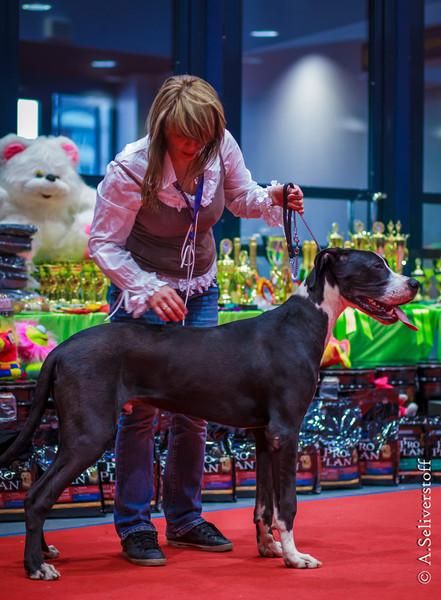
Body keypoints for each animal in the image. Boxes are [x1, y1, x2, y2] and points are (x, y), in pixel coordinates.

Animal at [0, 248, 418, 579]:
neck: (305, 320)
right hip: (90, 434)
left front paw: (269, 548)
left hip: (74, 433)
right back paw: (36, 566)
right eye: (377, 267)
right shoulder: (286, 432)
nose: (414, 283)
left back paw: (45, 552)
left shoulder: (265, 435)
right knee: (38, 496)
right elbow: (286, 504)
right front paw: (295, 557)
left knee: (38, 490)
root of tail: (61, 349)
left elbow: (263, 502)